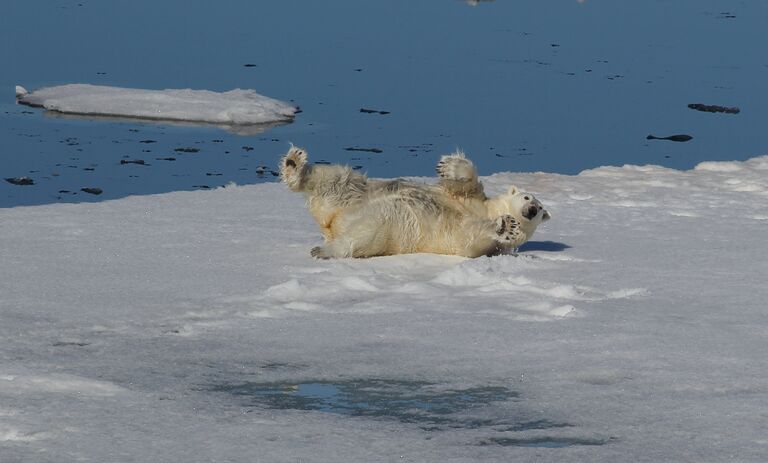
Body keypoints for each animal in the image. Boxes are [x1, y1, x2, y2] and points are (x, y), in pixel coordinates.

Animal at [280, 147, 548, 260]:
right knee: (336, 179)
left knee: (362, 236)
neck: (488, 211)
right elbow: (466, 182)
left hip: (388, 227)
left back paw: (323, 250)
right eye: (528, 198)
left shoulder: (479, 243)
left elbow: (470, 238)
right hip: (354, 194)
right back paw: (294, 163)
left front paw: (506, 226)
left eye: (541, 210)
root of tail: (331, 223)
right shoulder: (470, 199)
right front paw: (448, 165)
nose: (533, 208)